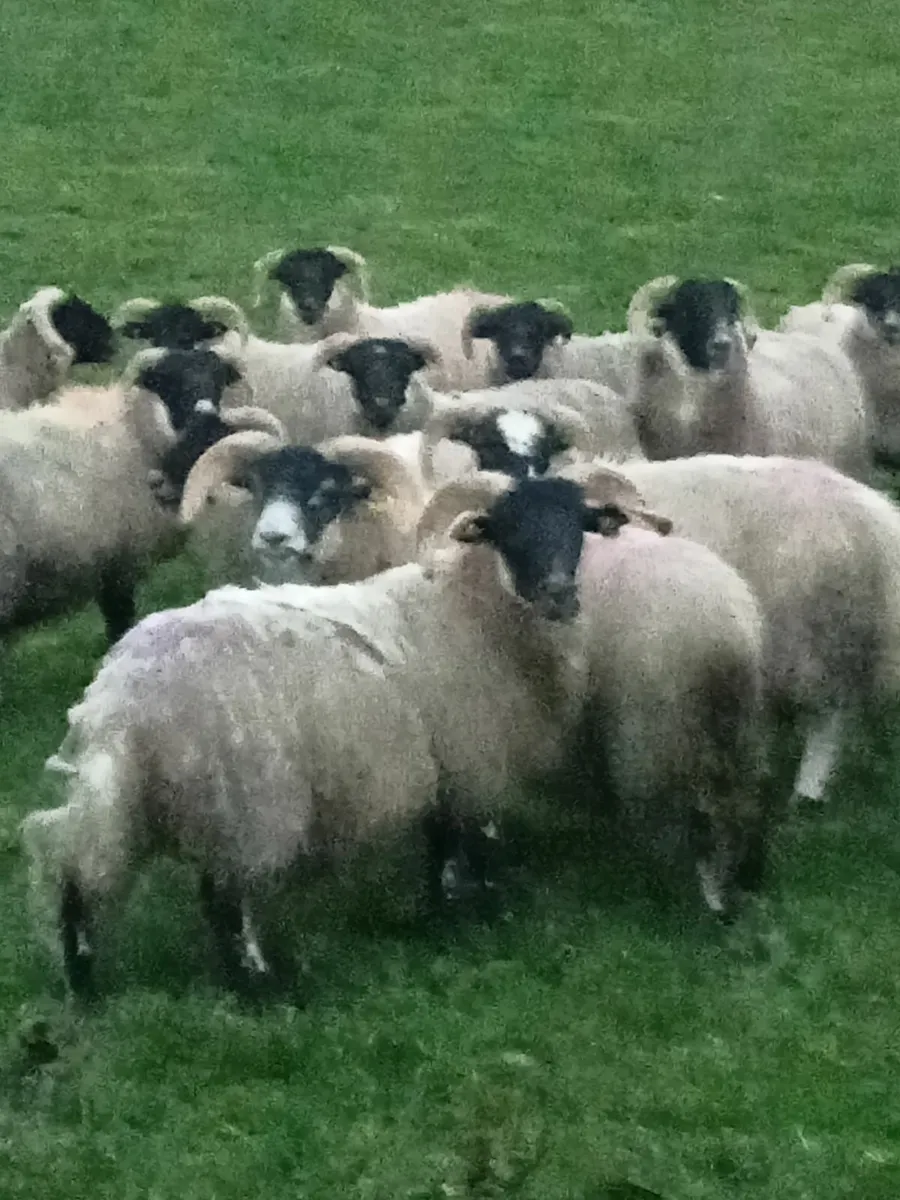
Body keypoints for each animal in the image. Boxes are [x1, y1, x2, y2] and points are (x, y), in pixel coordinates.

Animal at [24, 474, 642, 999]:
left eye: (578, 526)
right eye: (508, 530)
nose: (560, 593)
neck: (470, 609)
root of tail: (121, 696)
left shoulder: (438, 759)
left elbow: (441, 841)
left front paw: (446, 909)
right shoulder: (467, 752)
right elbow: (461, 844)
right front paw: (472, 908)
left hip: (134, 799)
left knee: (78, 877)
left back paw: (84, 987)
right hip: (246, 797)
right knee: (225, 900)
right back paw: (261, 986)